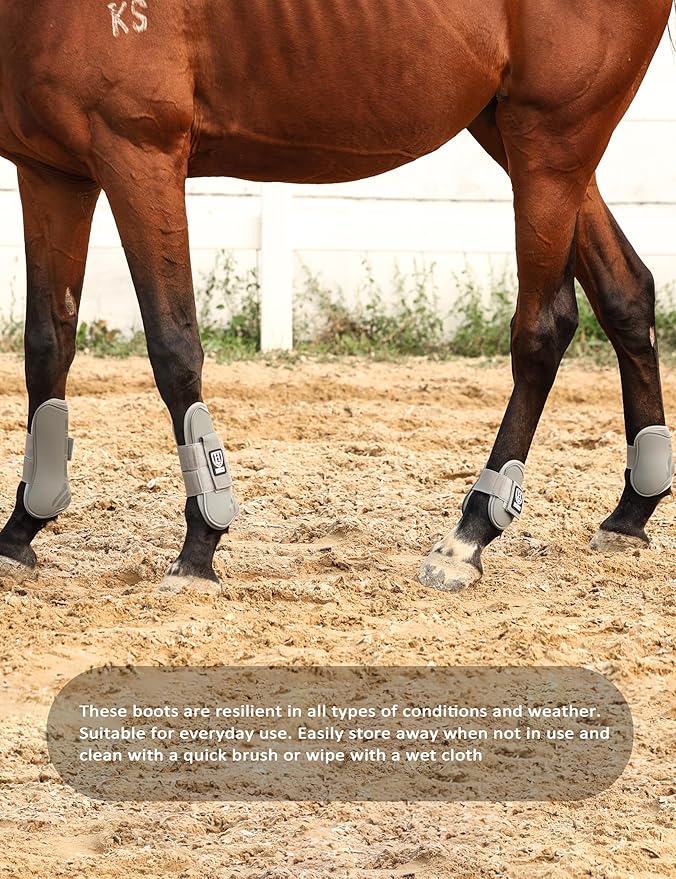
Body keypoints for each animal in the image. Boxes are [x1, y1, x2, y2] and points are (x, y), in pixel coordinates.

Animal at [0, 0, 673, 591]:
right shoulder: (53, 173)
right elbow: (47, 347)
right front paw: (21, 528)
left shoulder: (137, 156)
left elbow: (173, 347)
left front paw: (200, 547)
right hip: (518, 135)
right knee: (626, 291)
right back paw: (630, 513)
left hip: (551, 140)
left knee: (544, 327)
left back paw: (469, 536)